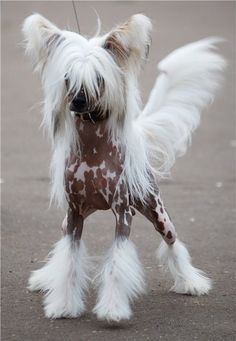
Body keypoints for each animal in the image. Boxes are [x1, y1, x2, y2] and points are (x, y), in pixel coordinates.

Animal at [23, 13, 226, 322]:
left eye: (98, 78)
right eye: (68, 76)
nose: (77, 101)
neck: (93, 151)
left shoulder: (122, 213)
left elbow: (117, 264)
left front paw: (112, 309)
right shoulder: (74, 215)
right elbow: (68, 260)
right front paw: (63, 305)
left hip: (156, 210)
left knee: (173, 242)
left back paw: (191, 282)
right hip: (73, 217)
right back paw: (45, 278)